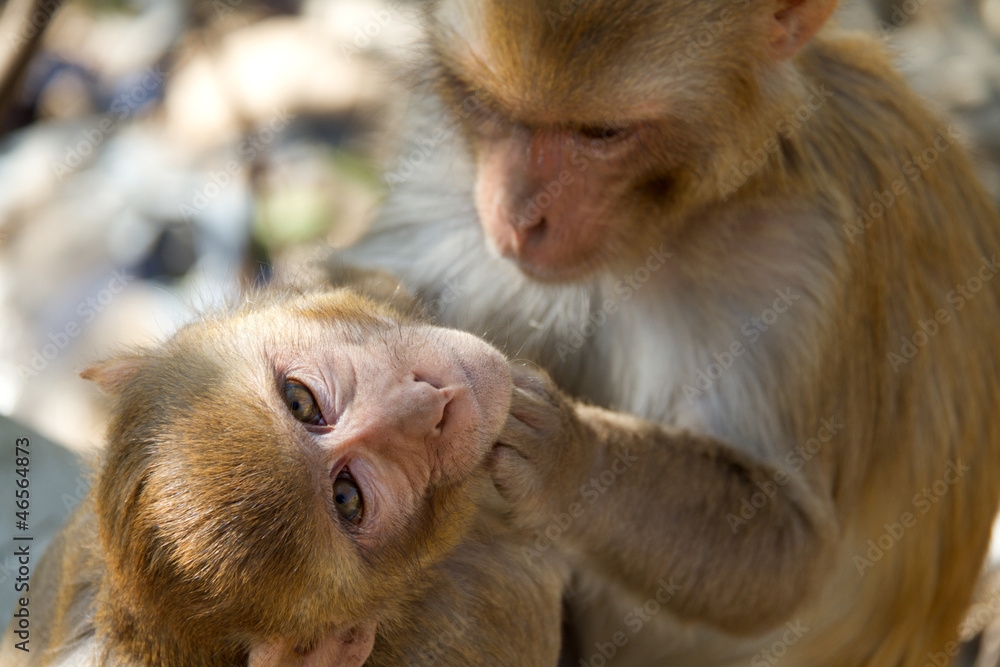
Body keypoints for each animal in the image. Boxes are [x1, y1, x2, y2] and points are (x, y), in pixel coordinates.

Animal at [340, 0, 1000, 664]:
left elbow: (790, 550)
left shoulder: (803, 256)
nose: (519, 219)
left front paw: (567, 454)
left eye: (602, 134)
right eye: (485, 105)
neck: (655, 228)